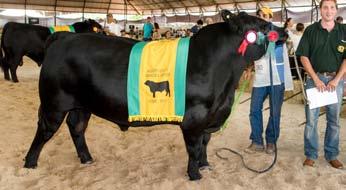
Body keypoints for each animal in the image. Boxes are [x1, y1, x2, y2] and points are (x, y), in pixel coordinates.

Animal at [23, 10, 286, 181]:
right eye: (261, 26)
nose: (282, 31)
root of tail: (64, 36)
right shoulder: (194, 118)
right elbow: (194, 147)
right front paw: (194, 174)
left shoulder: (210, 117)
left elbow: (205, 143)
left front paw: (205, 165)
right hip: (54, 103)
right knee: (44, 130)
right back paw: (29, 164)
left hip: (82, 105)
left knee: (76, 127)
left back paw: (87, 158)